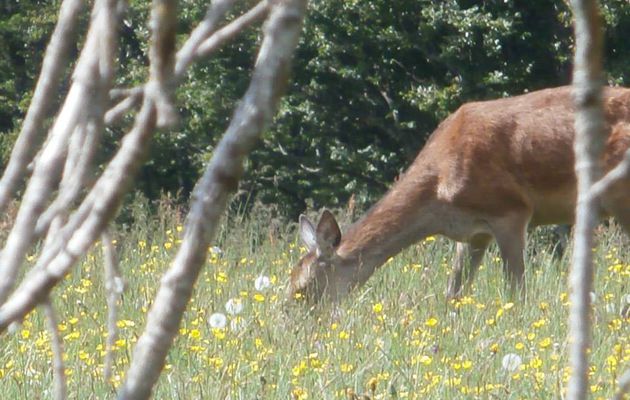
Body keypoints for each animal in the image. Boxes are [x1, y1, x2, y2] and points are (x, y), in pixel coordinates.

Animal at [288, 85, 630, 304]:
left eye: (303, 288)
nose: (291, 324)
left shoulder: (511, 211)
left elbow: (517, 292)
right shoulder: (472, 233)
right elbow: (453, 293)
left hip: (620, 195)